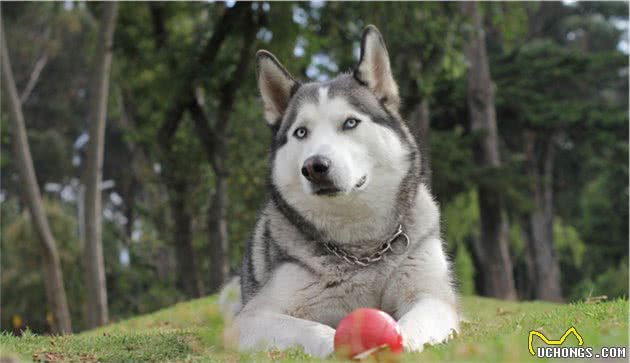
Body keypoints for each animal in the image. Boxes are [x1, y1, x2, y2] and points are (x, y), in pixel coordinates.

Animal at [226, 24, 460, 358]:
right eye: (301, 132)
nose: (314, 166)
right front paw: (343, 346)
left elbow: (414, 322)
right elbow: (312, 329)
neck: (361, 251)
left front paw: (397, 343)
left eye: (350, 123)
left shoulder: (432, 296)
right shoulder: (252, 317)